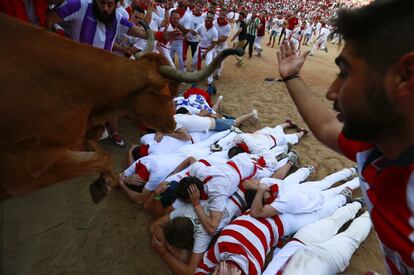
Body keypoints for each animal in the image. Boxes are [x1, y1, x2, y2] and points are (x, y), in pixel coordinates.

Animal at [0, 13, 243, 203]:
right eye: (168, 92)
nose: (172, 123)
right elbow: (103, 156)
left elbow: (100, 154)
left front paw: (104, 182)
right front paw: (104, 183)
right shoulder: (25, 170)